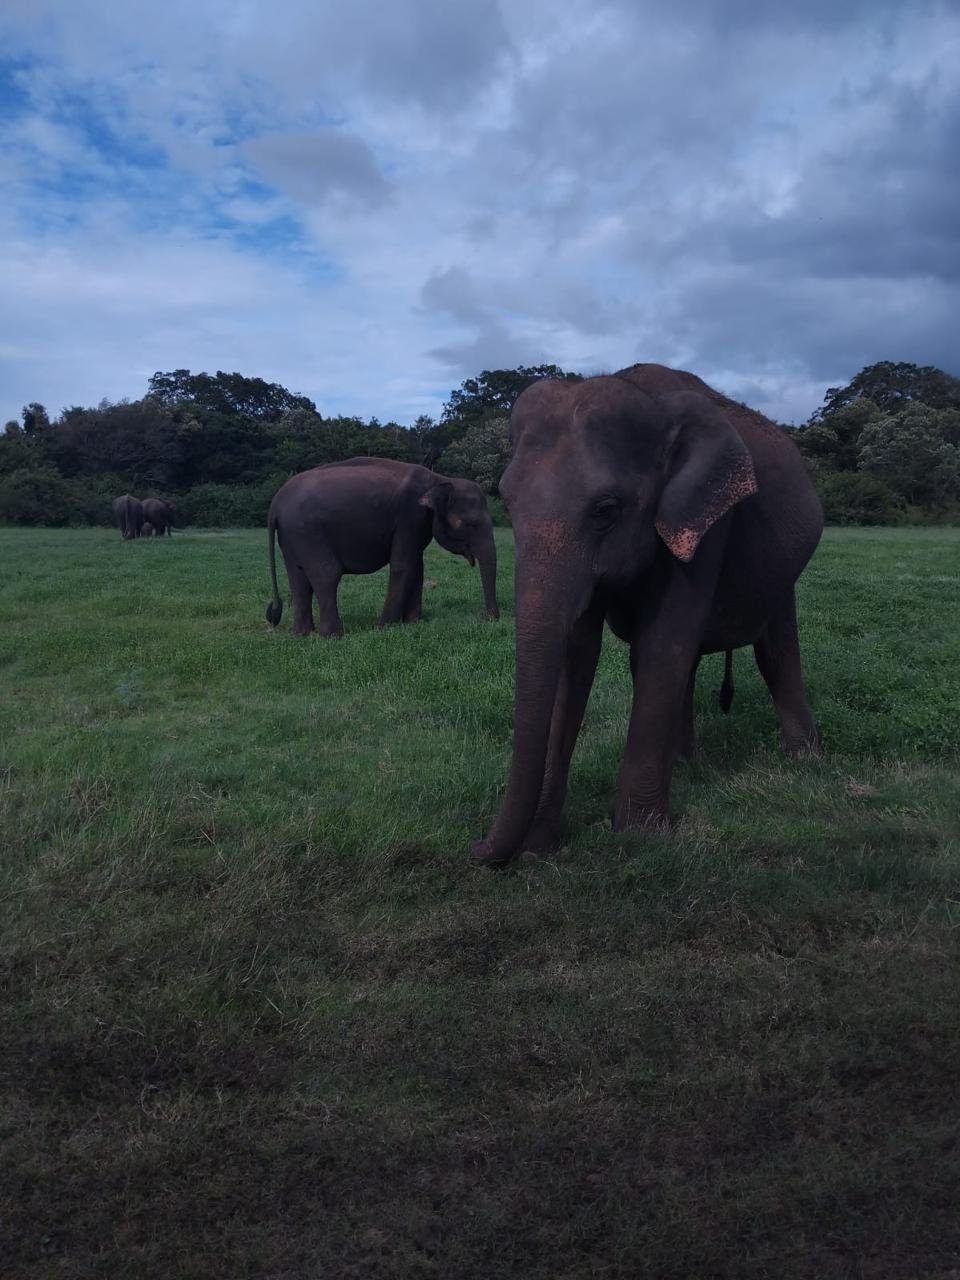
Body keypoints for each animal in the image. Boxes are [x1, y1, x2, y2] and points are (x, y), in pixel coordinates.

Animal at [265, 458, 500, 636]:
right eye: (472, 524)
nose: (487, 617)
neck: (440, 479)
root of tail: (275, 502)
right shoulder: (410, 516)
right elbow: (403, 566)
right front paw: (384, 627)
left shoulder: (418, 524)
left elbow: (417, 567)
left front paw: (412, 622)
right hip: (307, 532)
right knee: (326, 574)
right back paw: (332, 636)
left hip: (291, 536)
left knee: (298, 579)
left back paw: (302, 634)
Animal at [472, 363, 823, 867]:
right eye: (508, 501)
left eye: (605, 510)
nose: (476, 848)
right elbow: (579, 655)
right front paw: (542, 845)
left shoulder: (706, 519)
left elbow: (662, 645)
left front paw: (639, 838)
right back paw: (685, 763)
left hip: (782, 570)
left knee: (774, 653)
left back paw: (803, 761)